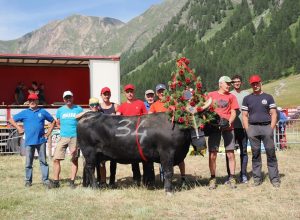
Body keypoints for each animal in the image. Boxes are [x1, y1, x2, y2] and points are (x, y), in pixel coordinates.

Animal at [77, 111, 206, 192]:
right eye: (192, 125)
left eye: (204, 125)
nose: (203, 145)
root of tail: (88, 115)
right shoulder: (167, 153)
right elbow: (169, 172)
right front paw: (168, 190)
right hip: (89, 152)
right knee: (90, 168)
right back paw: (95, 187)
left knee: (86, 168)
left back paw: (88, 186)